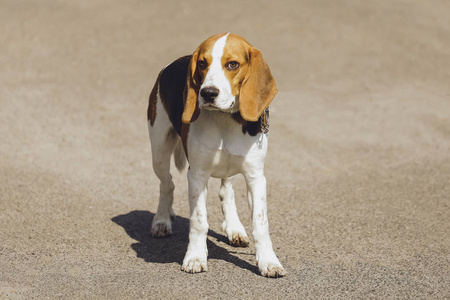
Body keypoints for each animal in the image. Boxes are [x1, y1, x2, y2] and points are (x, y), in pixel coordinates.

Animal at [149, 32, 286, 276]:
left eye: (232, 64)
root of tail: (170, 64)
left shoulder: (256, 178)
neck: (226, 119)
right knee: (167, 185)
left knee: (226, 191)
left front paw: (268, 261)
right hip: (159, 151)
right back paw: (162, 220)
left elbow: (260, 223)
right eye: (202, 63)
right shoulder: (196, 175)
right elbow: (198, 221)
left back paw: (234, 228)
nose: (208, 93)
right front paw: (195, 257)